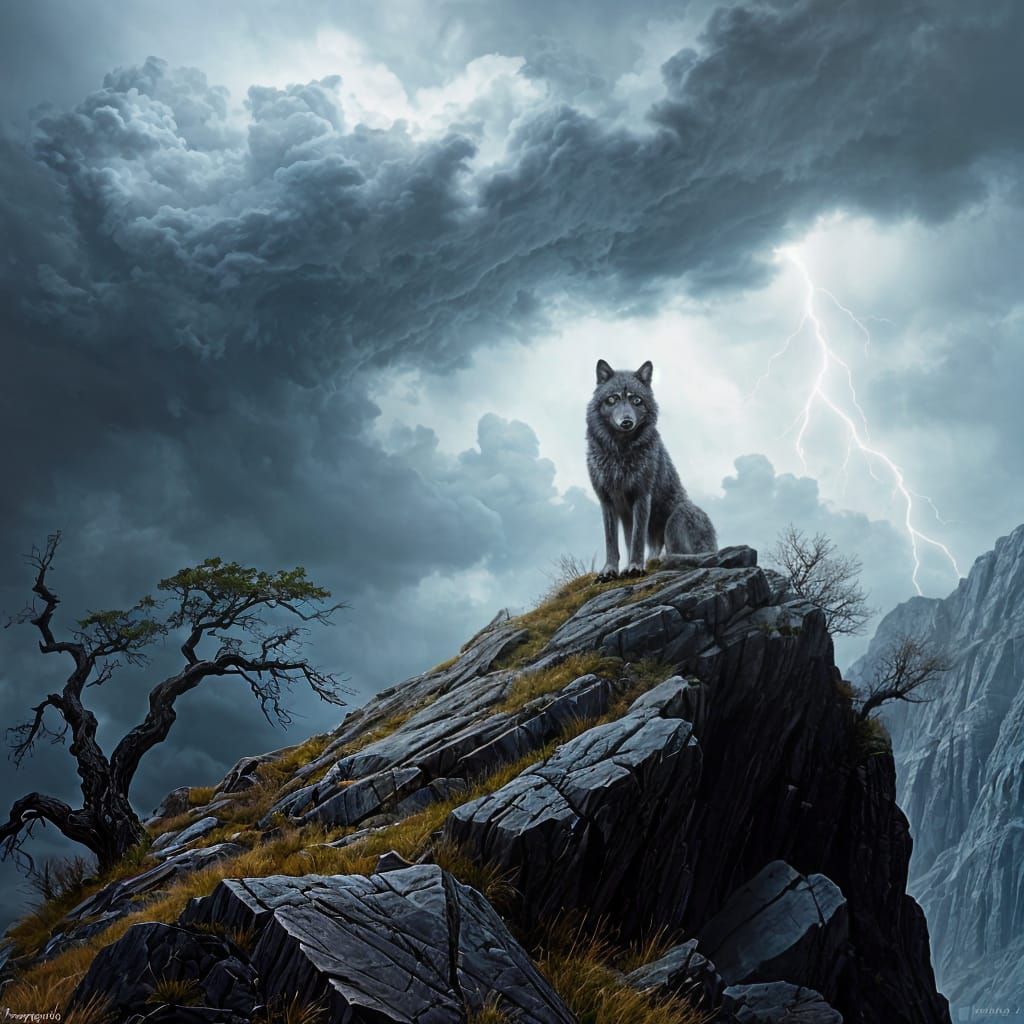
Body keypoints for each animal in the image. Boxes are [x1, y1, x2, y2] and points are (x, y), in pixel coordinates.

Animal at [586, 359, 717, 578]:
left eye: (636, 400)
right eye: (612, 399)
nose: (626, 422)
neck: (620, 453)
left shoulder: (642, 496)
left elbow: (637, 540)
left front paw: (635, 567)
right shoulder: (607, 502)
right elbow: (612, 542)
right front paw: (610, 570)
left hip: (677, 517)